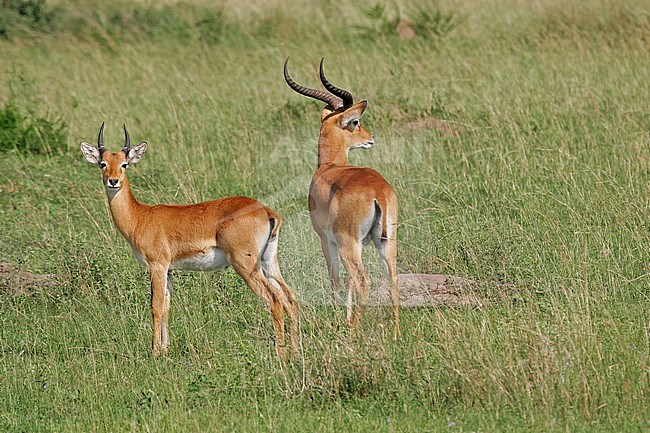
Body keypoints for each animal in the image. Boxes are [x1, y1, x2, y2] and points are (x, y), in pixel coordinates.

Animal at [79, 124, 298, 358]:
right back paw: (295, 351)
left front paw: (154, 353)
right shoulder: (169, 270)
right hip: (268, 263)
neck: (140, 216)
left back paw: (280, 355)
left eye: (124, 164)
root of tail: (266, 211)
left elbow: (155, 307)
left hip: (245, 264)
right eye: (103, 163)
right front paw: (165, 349)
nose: (113, 181)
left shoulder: (156, 266)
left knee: (274, 301)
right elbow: (166, 307)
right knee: (289, 298)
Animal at [284, 57, 400, 336]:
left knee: (363, 280)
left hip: (350, 244)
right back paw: (395, 332)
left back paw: (355, 330)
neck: (331, 167)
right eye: (355, 123)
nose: (370, 138)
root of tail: (378, 192)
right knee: (392, 278)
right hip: (386, 240)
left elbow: (335, 278)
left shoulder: (327, 240)